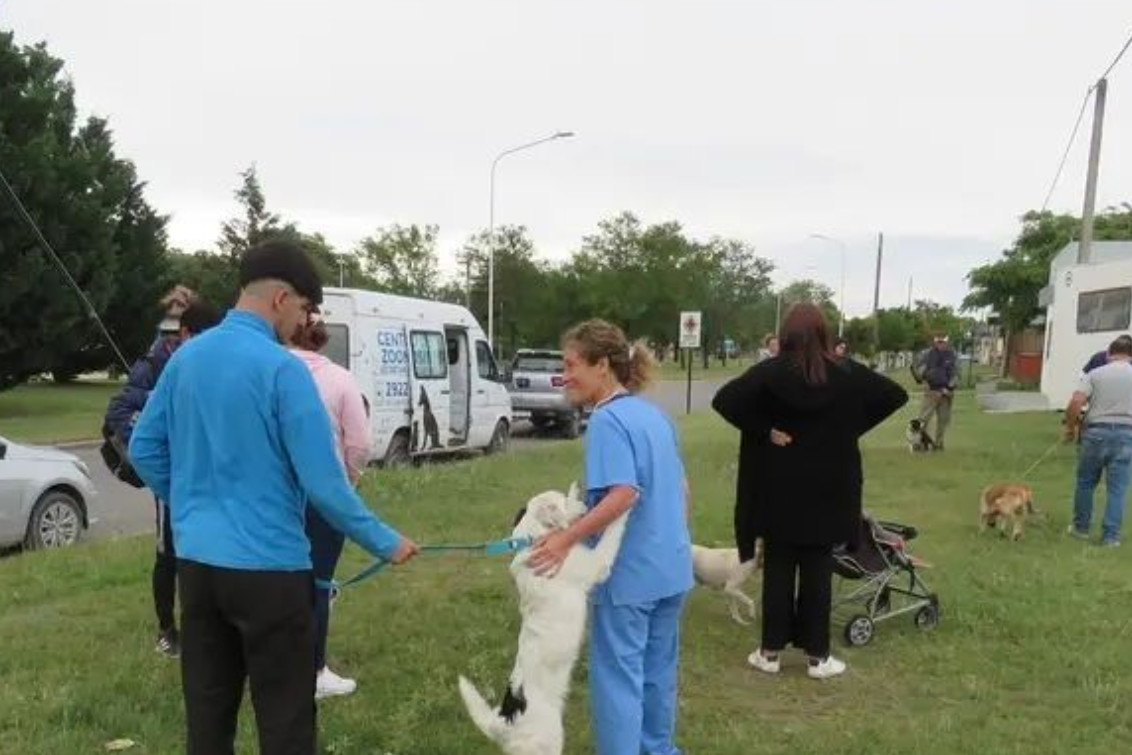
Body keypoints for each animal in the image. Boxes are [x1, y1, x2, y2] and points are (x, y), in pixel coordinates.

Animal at [457, 484, 633, 755]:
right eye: (562, 502)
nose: (586, 506)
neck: (534, 539)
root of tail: (503, 722)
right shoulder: (598, 564)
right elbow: (612, 534)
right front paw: (627, 505)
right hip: (549, 741)